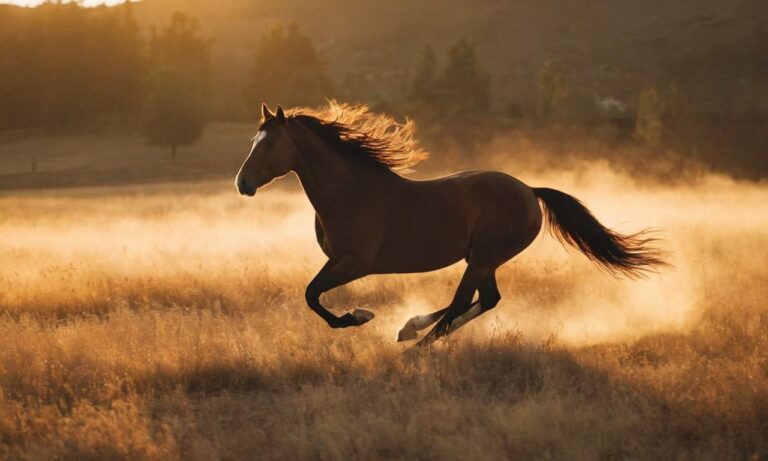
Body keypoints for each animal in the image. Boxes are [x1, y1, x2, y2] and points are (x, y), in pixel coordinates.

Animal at [234, 100, 664, 344]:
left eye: (268, 144)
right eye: (253, 142)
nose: (243, 184)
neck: (349, 192)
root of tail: (529, 190)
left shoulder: (356, 263)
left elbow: (312, 294)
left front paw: (356, 317)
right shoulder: (336, 260)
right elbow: (311, 293)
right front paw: (360, 317)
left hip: (485, 256)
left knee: (464, 300)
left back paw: (417, 346)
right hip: (482, 259)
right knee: (484, 300)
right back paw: (411, 330)